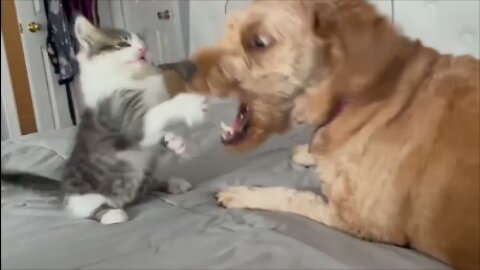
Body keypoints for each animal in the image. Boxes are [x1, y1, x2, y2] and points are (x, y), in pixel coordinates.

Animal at [1, 15, 208, 225]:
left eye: (144, 44)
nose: (143, 50)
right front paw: (189, 104)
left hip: (145, 173)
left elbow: (163, 130)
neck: (136, 80)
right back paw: (111, 214)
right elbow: (158, 112)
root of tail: (62, 188)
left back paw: (173, 183)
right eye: (123, 43)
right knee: (87, 208)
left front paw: (181, 144)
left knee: (149, 185)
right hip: (84, 196)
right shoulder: (125, 119)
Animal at [167, 0, 478, 266]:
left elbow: (293, 196)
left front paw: (244, 194)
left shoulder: (360, 223)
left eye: (259, 42)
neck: (360, 96)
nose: (174, 68)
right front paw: (305, 152)